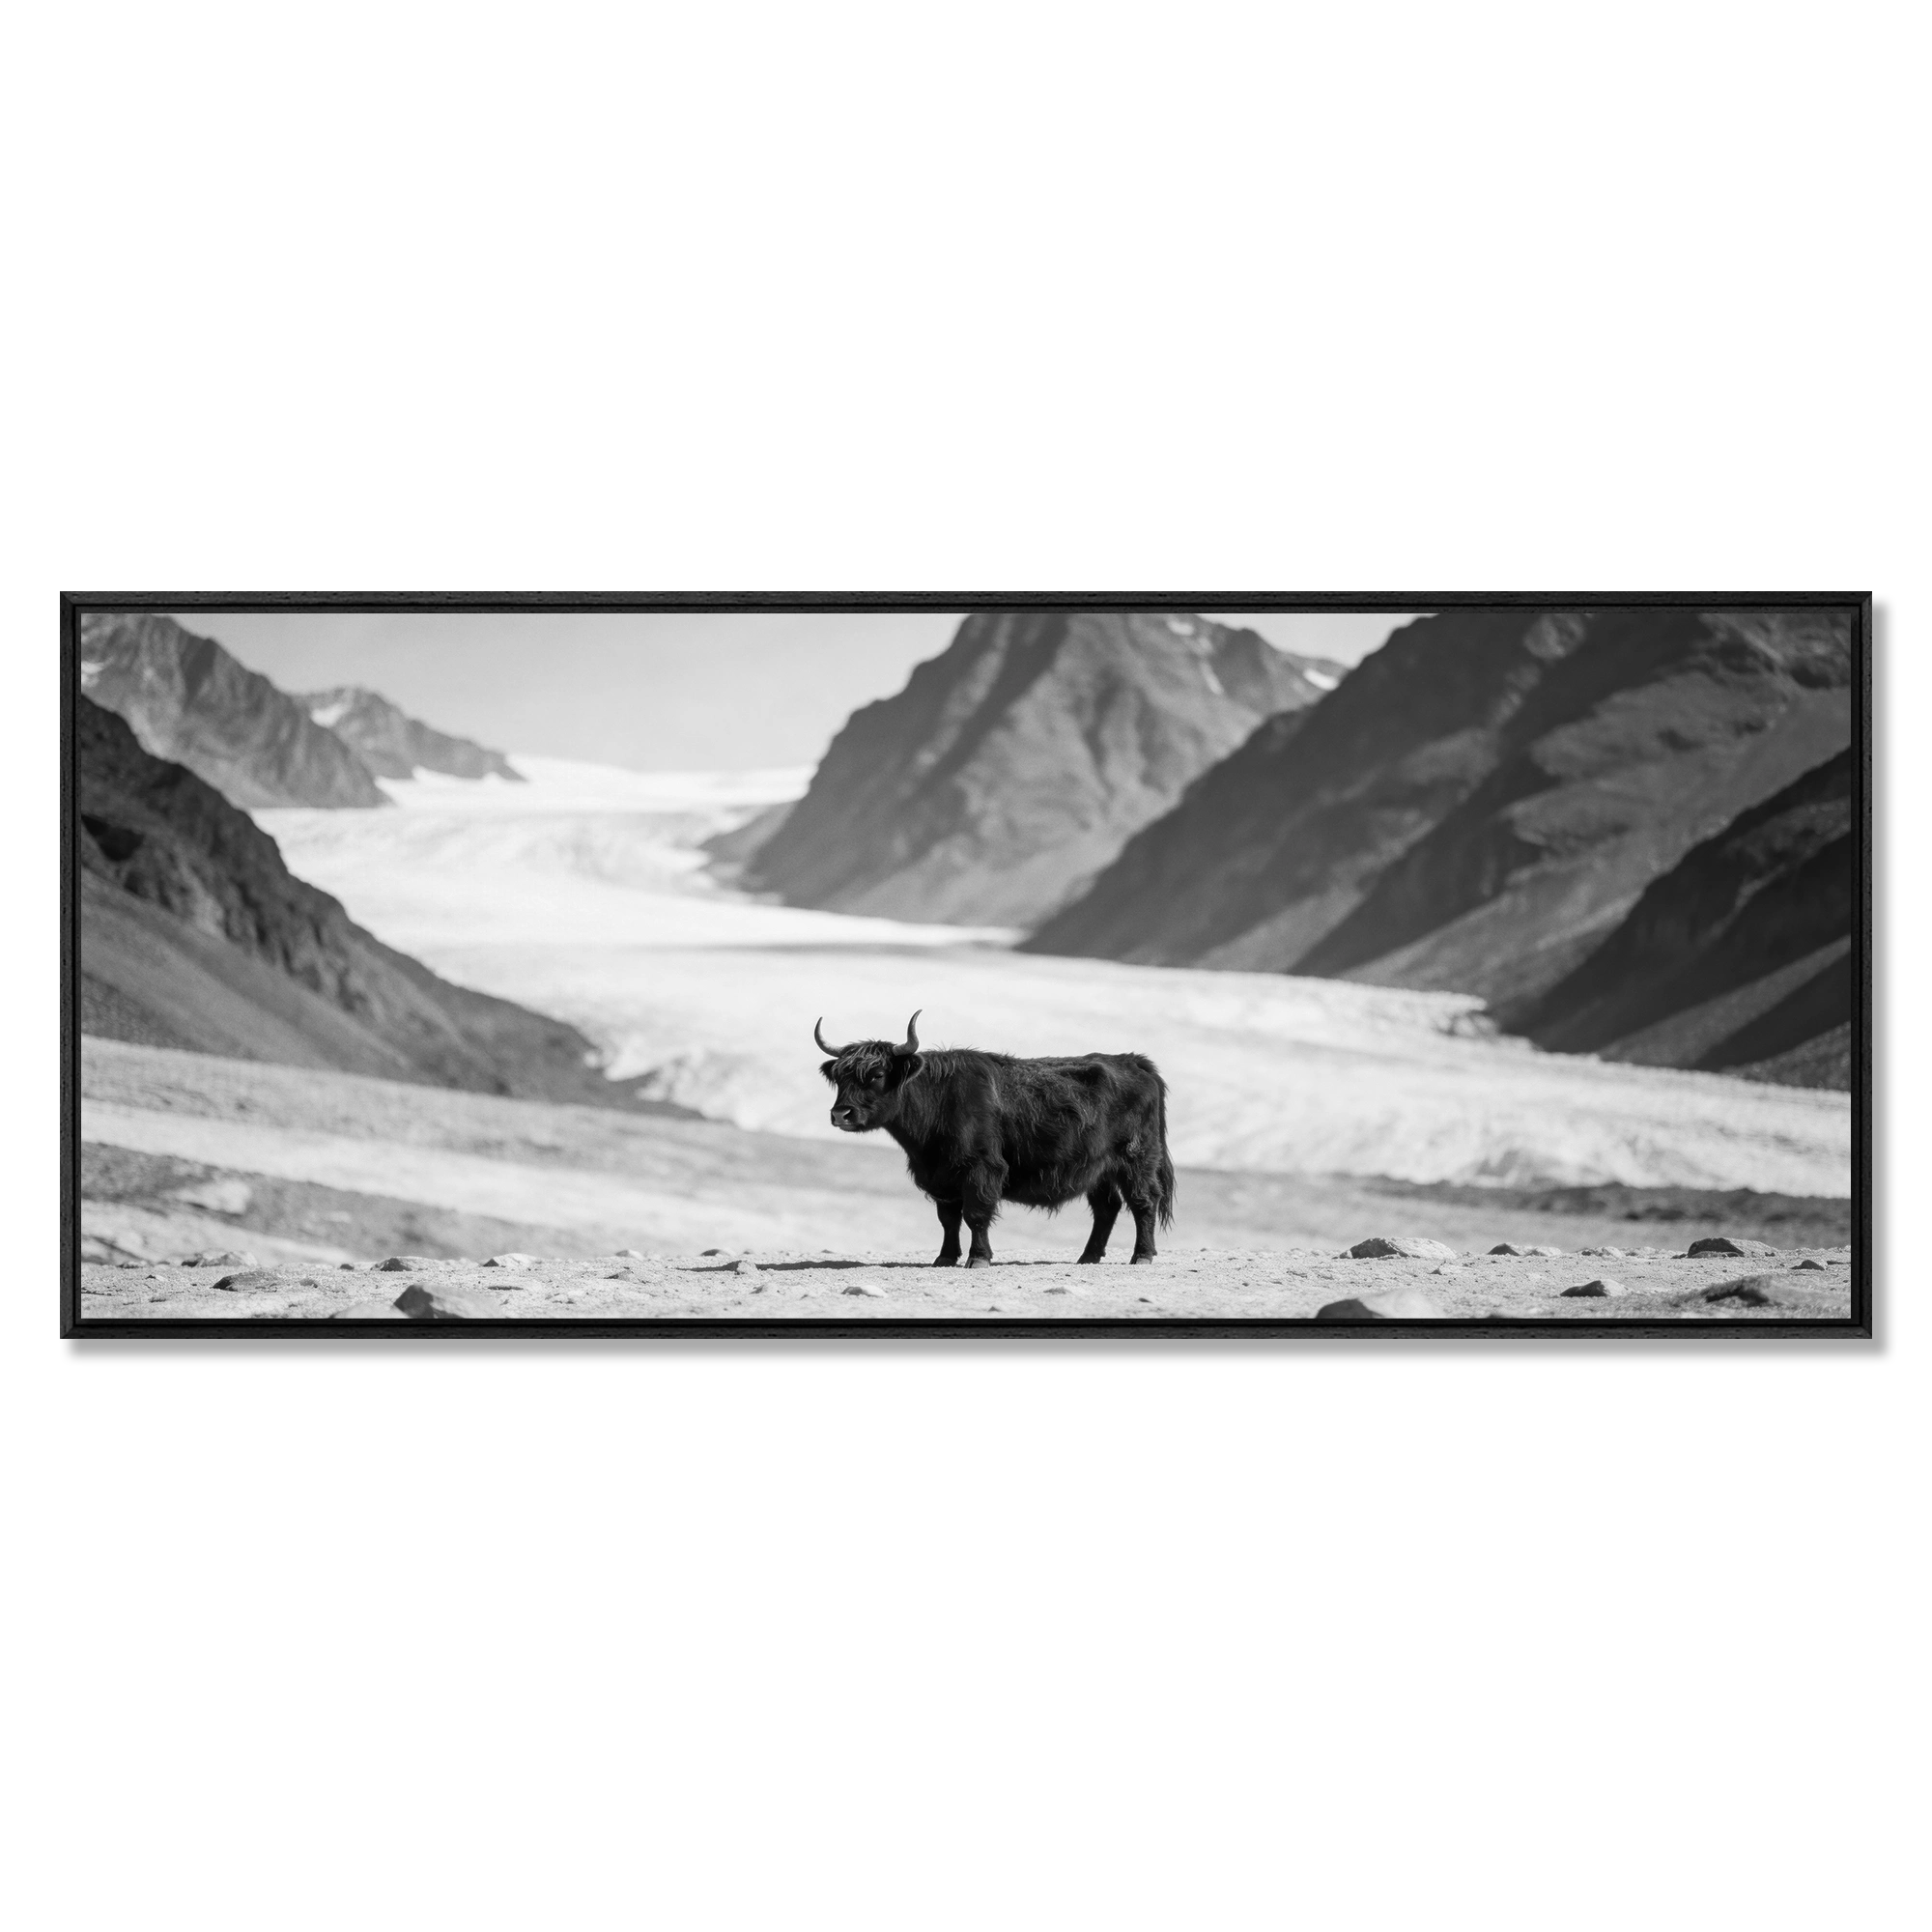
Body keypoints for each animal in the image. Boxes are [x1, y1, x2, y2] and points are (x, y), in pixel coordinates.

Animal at [814, 1010, 1174, 1268]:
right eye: (840, 1077)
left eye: (876, 1074)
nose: (841, 1114)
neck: (938, 1100)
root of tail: (1133, 1061)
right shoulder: (941, 1176)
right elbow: (948, 1219)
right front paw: (944, 1258)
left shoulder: (981, 1168)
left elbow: (976, 1214)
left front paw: (978, 1258)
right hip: (1098, 1169)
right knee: (1107, 1208)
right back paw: (1087, 1257)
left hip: (1136, 1159)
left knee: (1144, 1201)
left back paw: (1142, 1255)